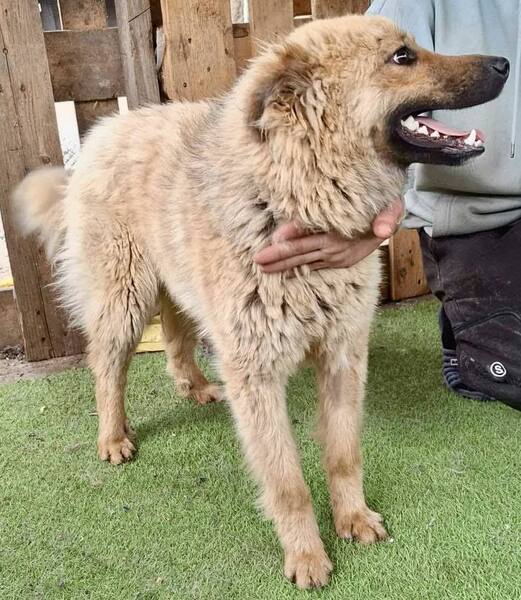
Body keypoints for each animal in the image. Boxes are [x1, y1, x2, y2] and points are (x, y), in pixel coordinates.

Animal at [13, 15, 508, 588]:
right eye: (402, 57)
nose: (504, 64)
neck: (296, 194)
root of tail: (103, 131)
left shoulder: (343, 356)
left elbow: (344, 453)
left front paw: (353, 517)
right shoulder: (257, 373)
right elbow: (288, 482)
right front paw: (307, 555)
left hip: (178, 286)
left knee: (177, 336)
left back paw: (195, 387)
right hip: (125, 298)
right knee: (107, 367)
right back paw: (113, 436)